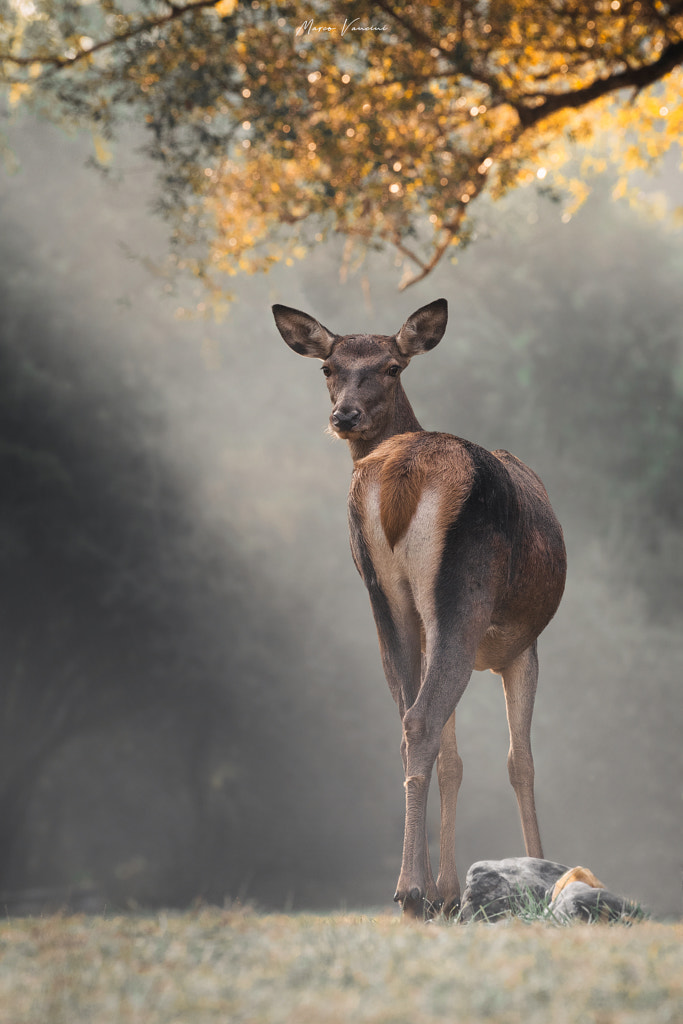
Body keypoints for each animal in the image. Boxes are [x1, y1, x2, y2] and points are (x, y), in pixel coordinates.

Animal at [272, 299, 565, 921]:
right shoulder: (523, 644)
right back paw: (410, 890)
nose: (345, 415)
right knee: (425, 718)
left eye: (391, 366)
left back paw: (420, 890)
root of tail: (401, 474)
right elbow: (520, 759)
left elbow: (455, 761)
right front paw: (540, 872)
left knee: (408, 722)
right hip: (465, 595)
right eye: (328, 367)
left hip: (385, 597)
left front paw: (451, 890)